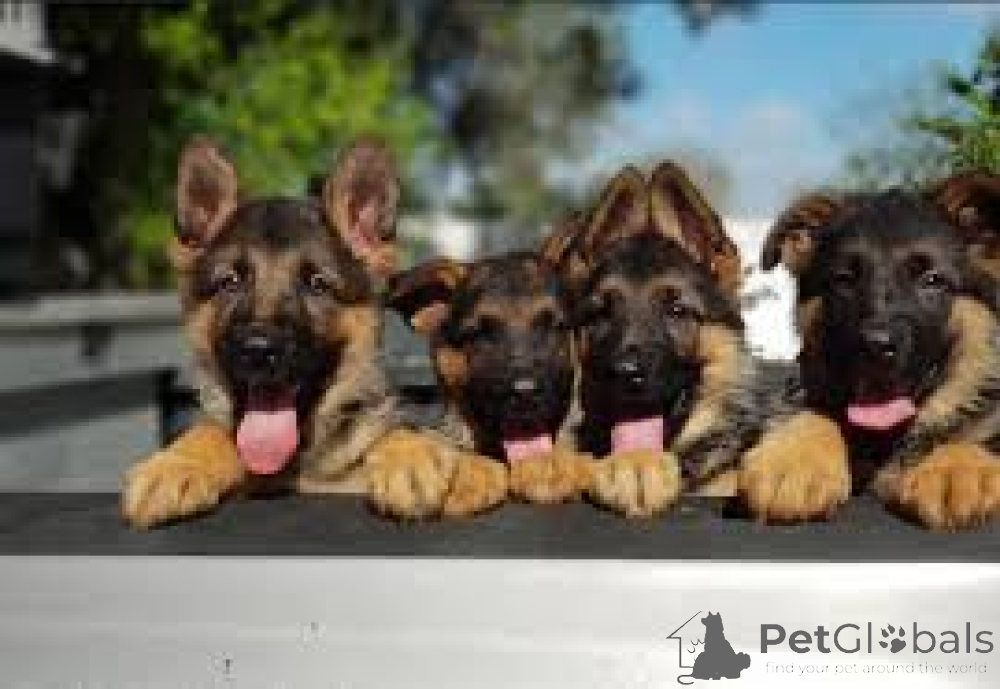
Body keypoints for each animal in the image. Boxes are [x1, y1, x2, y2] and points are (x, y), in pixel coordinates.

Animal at [122, 136, 492, 527]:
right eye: (230, 281)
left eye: (317, 284)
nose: (258, 350)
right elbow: (209, 430)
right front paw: (177, 464)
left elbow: (396, 433)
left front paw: (412, 457)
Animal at [756, 172, 1000, 530]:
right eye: (843, 279)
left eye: (932, 280)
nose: (875, 346)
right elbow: (820, 414)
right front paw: (795, 458)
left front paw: (955, 469)